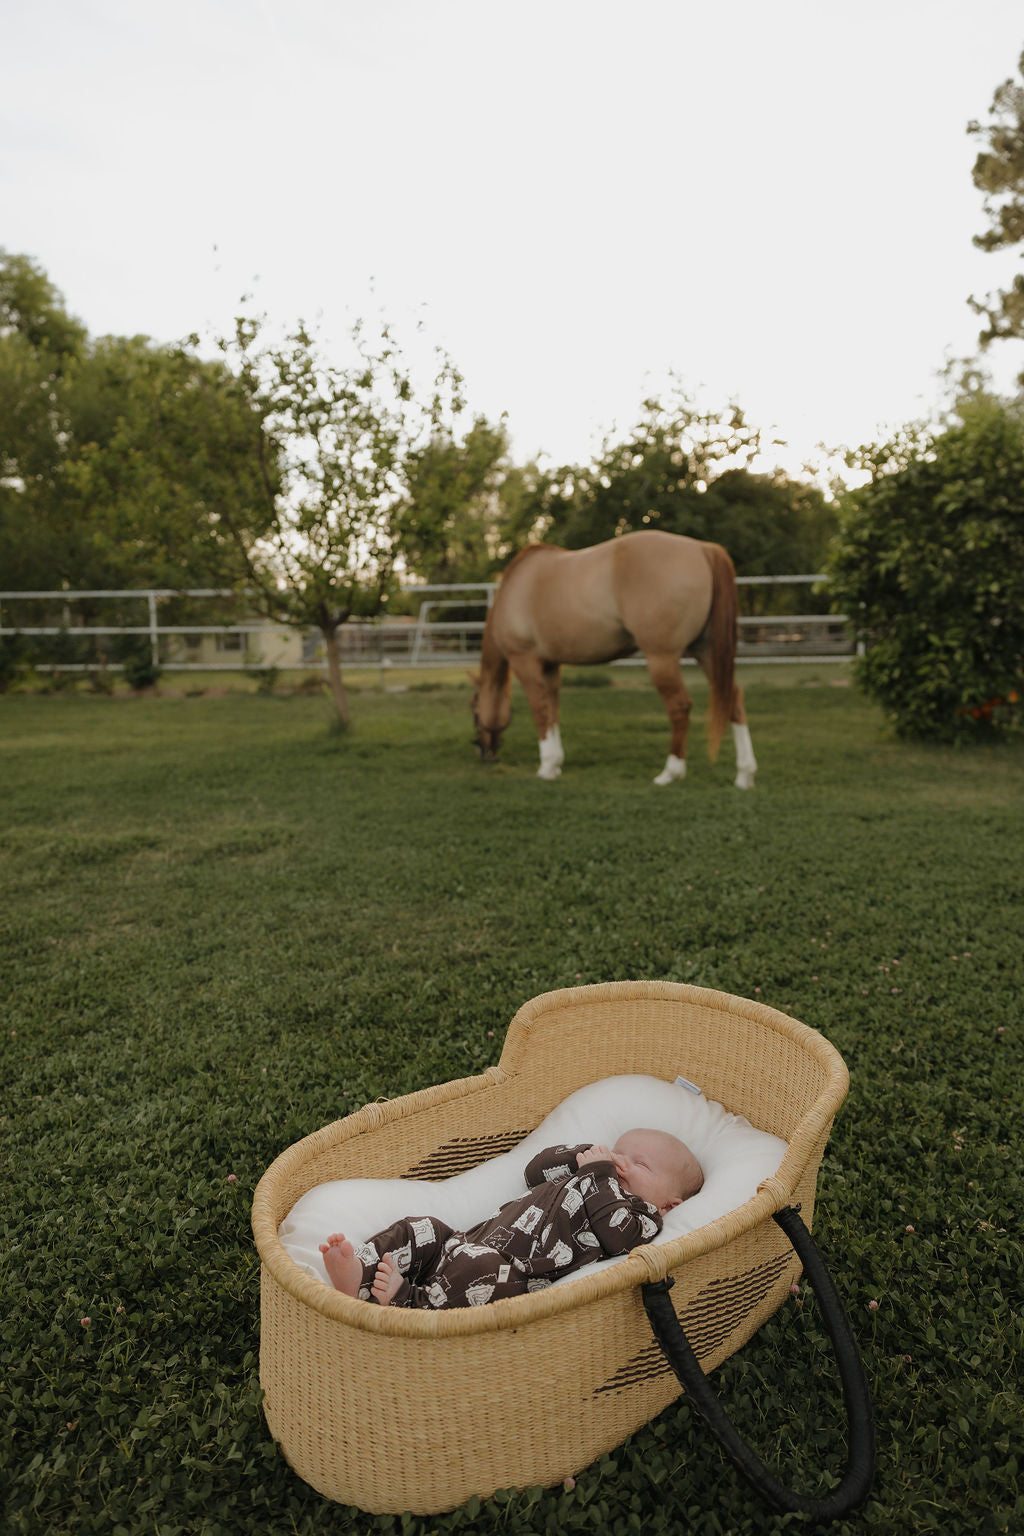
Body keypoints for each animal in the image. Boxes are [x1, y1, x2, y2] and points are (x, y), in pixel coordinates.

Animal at [470, 530, 757, 787]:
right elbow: (553, 711)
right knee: (734, 699)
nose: (484, 753)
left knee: (679, 707)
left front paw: (546, 767)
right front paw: (556, 763)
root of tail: (702, 548)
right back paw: (744, 775)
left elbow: (540, 710)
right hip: (707, 653)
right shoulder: (551, 666)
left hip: (662, 659)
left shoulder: (525, 661)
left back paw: (669, 773)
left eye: (474, 712)